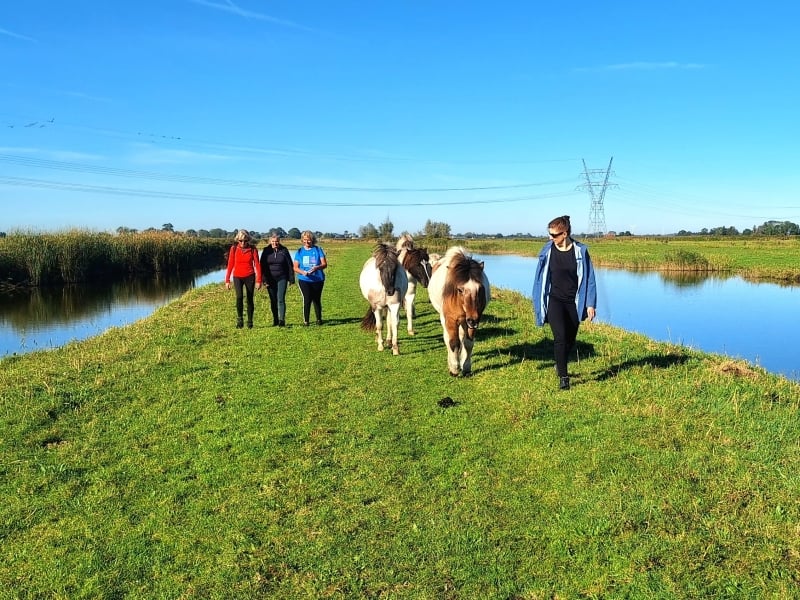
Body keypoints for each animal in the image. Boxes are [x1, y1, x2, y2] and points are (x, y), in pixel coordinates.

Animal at [428, 246, 490, 378]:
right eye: (460, 290)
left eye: (480, 288)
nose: (472, 320)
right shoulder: (451, 320)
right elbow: (453, 343)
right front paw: (454, 369)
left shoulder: (472, 321)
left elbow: (468, 343)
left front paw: (466, 367)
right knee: (448, 339)